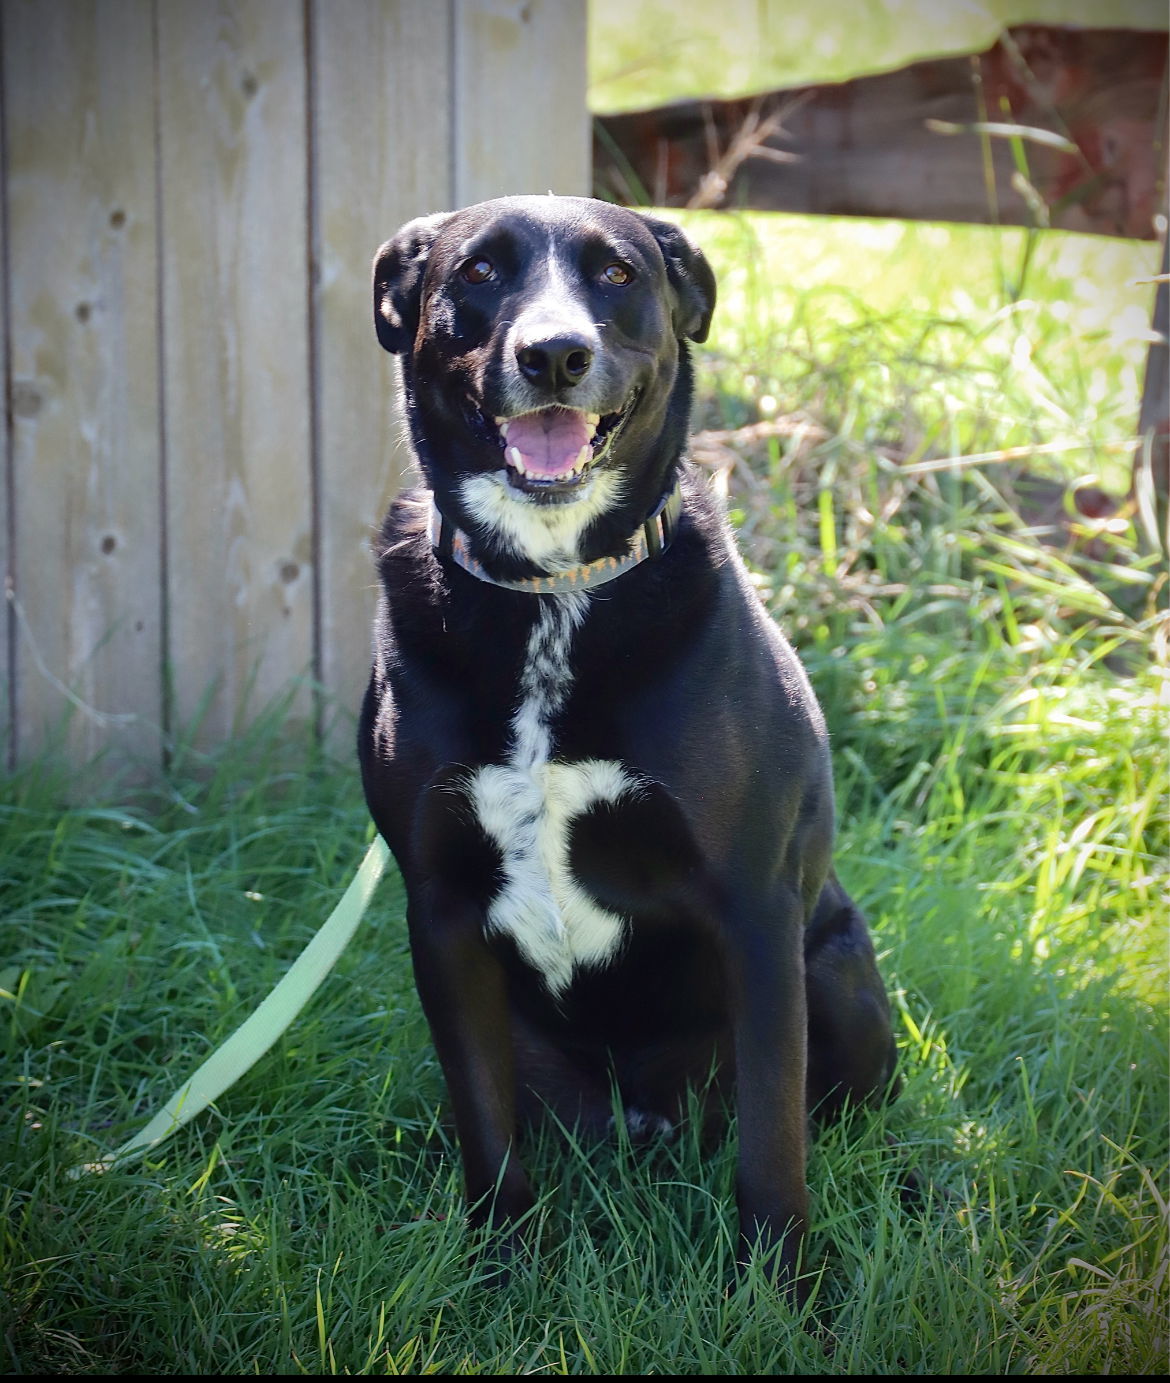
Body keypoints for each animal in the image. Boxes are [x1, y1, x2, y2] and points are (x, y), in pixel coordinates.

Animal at [356, 192, 896, 1283]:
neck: (553, 587)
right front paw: (504, 1266)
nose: (554, 355)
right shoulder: (440, 914)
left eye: (616, 274)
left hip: (836, 977)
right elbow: (486, 1127)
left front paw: (783, 1286)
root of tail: (646, 1119)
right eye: (478, 272)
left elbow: (774, 1136)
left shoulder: (756, 907)